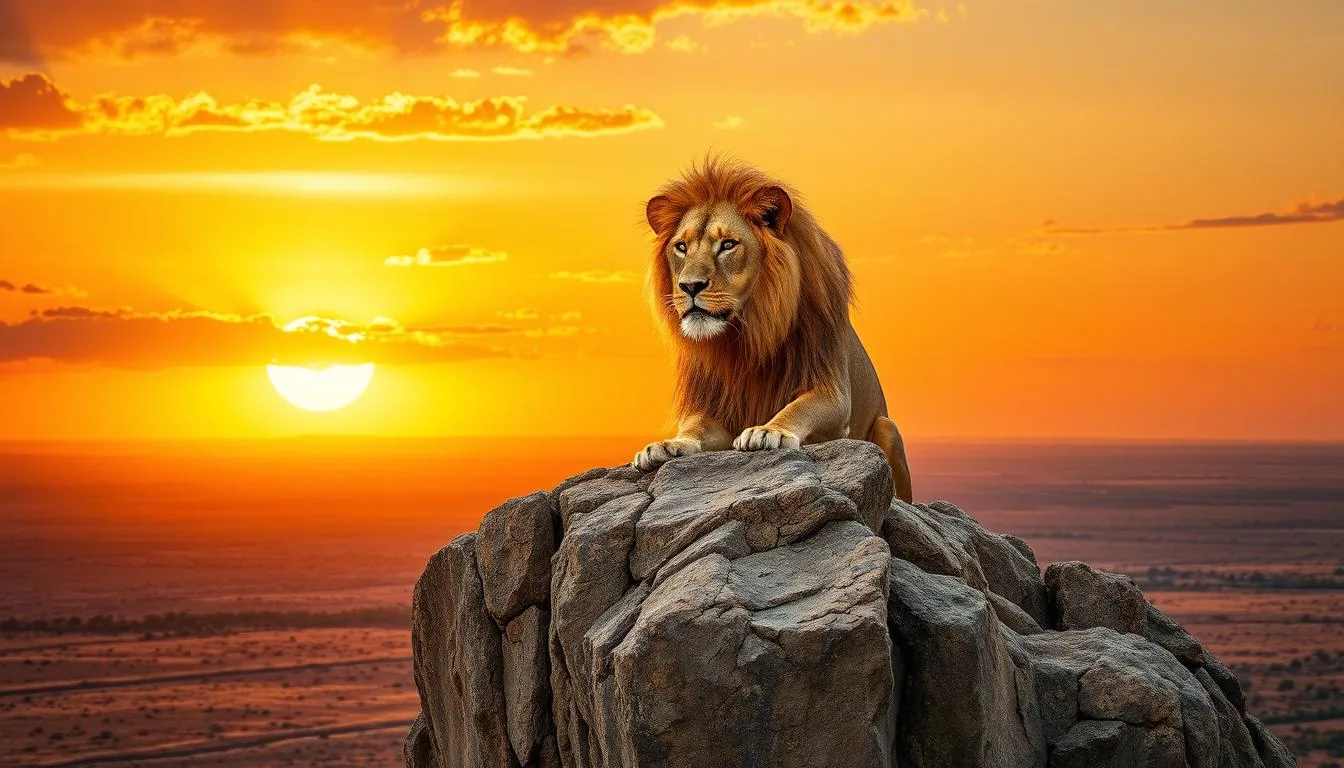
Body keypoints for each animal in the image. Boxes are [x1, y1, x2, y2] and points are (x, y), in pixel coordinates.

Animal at [632, 157, 914, 503]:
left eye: (728, 244)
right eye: (681, 247)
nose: (689, 286)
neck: (745, 334)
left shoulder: (832, 393)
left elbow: (799, 408)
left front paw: (769, 431)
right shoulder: (713, 407)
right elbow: (694, 428)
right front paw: (667, 445)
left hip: (888, 427)